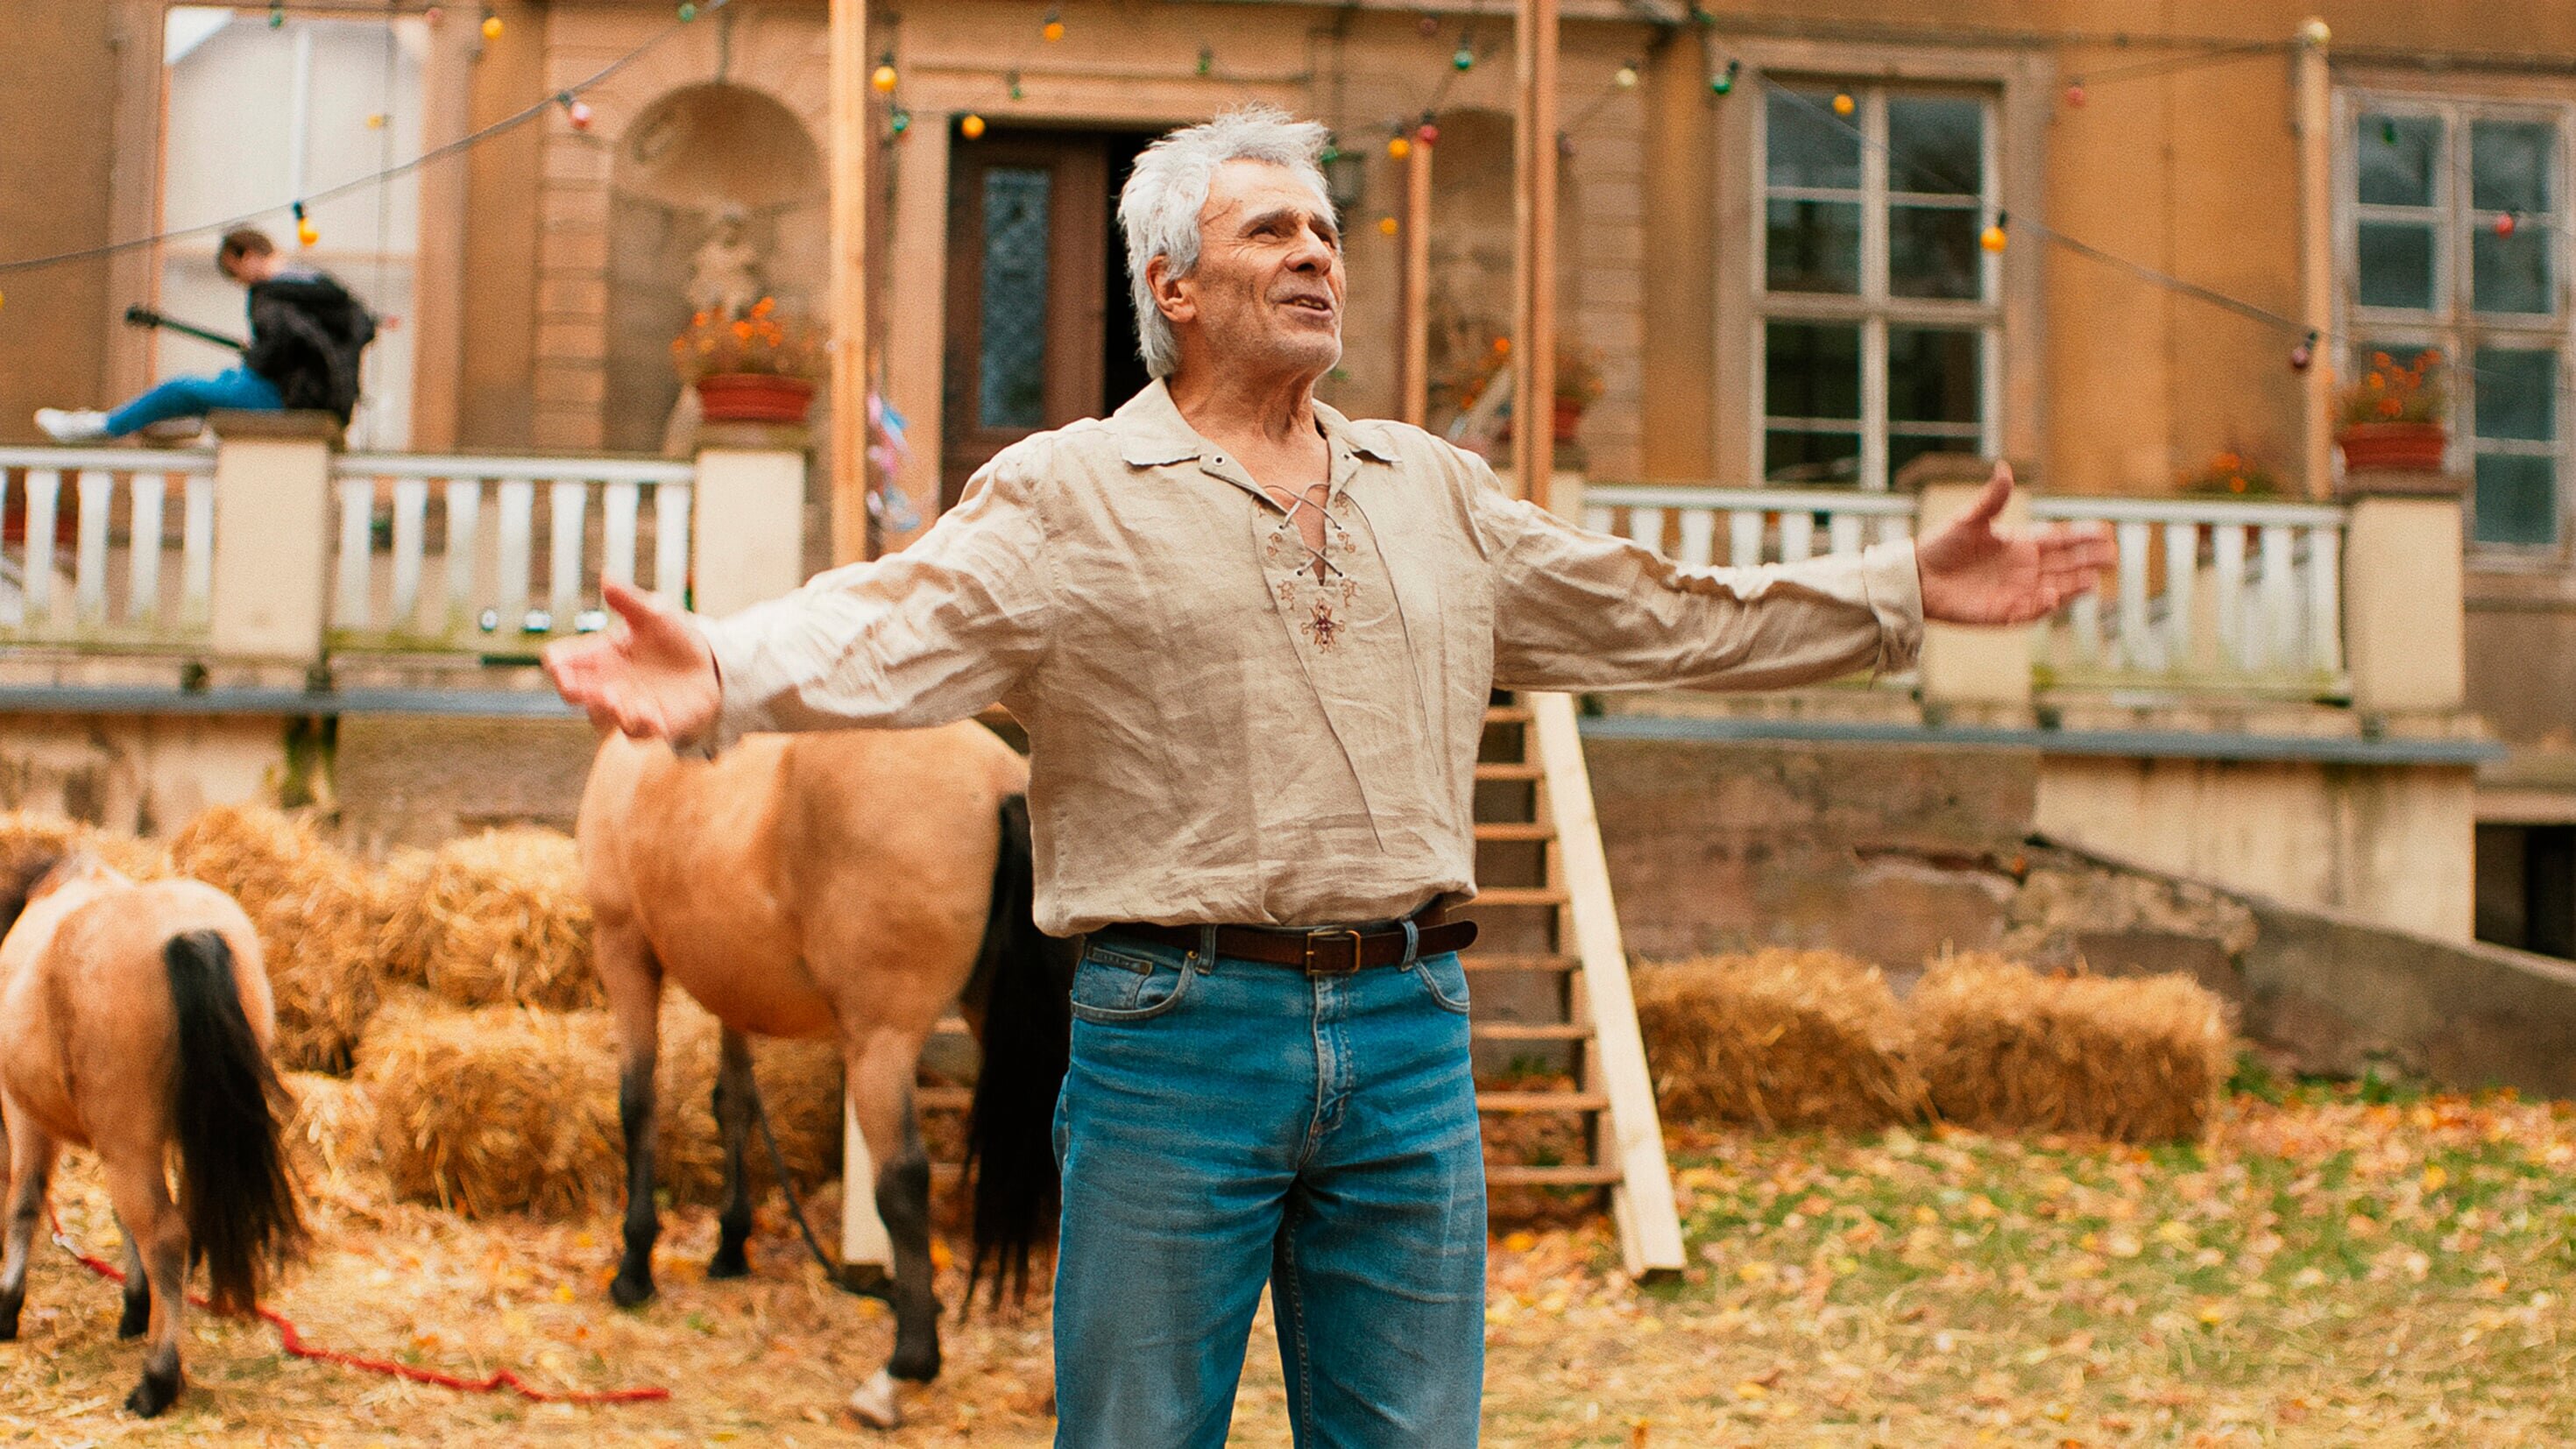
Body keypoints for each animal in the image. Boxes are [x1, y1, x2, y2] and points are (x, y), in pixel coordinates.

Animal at [0, 844, 303, 1420]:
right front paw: (136, 1307)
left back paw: (156, 1381)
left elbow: (24, 1203)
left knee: (165, 1234)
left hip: (125, 1144)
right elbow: (120, 1219)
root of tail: (189, 934)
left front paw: (6, 1307)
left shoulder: (26, 1116)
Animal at [579, 725, 1072, 1431]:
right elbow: (733, 1104)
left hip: (881, 1042)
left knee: (903, 1180)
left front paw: (633, 1270)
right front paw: (731, 1248)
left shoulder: (623, 949)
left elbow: (637, 1103)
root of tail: (999, 781)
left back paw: (904, 1369)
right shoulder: (732, 988)